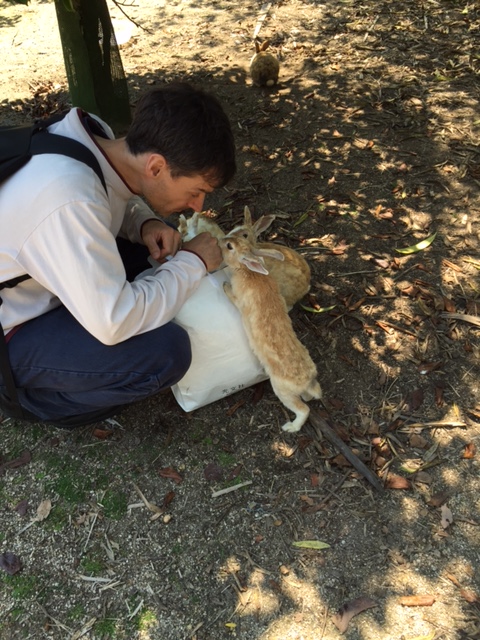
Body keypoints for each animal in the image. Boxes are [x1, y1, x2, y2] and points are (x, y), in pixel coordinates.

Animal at [221, 235, 322, 436]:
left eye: (229, 246)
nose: (221, 240)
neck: (249, 271)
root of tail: (307, 381)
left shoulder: (239, 300)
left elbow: (231, 296)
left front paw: (225, 285)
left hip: (282, 391)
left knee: (303, 409)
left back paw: (290, 427)